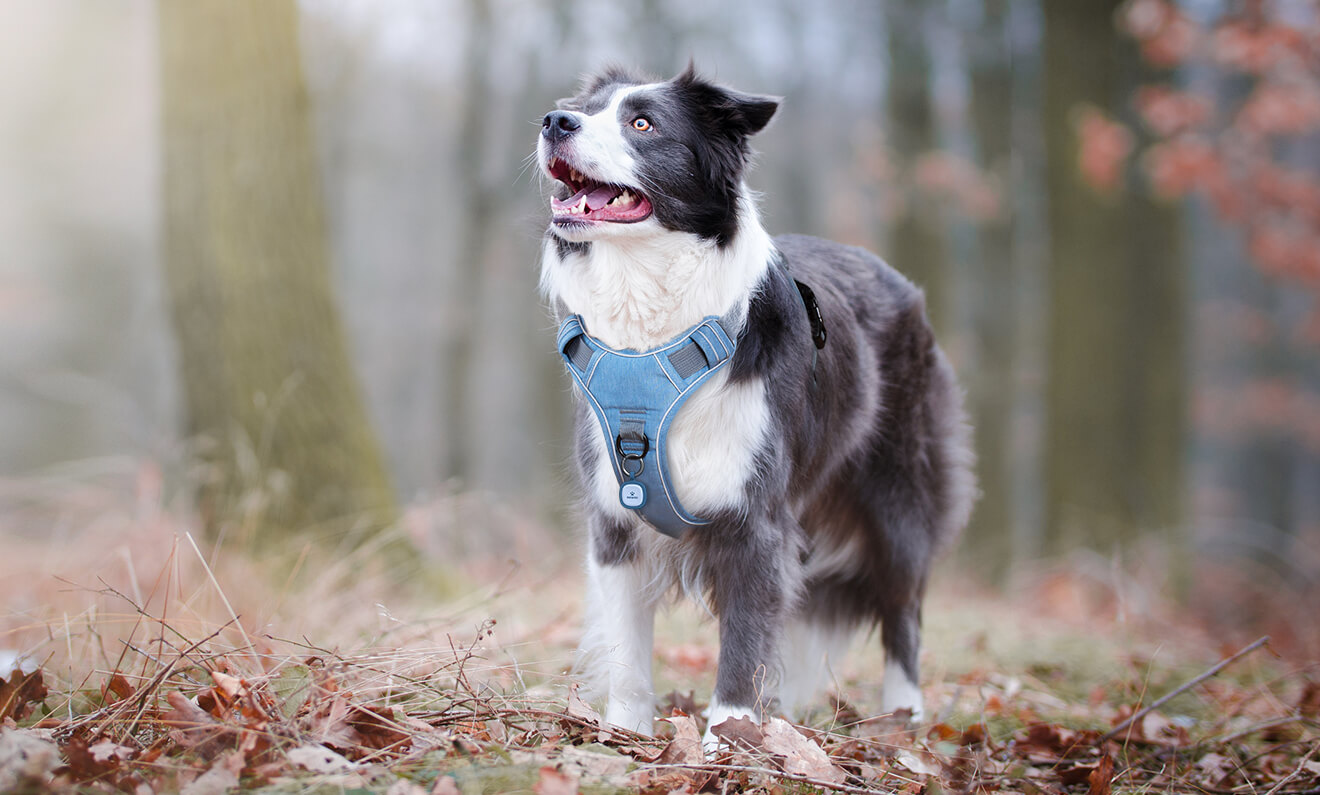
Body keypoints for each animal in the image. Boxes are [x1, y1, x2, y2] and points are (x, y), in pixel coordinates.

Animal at [530, 66, 976, 744]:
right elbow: (628, 652)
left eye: (642, 123)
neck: (650, 325)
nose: (555, 122)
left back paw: (904, 720)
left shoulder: (755, 520)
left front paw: (729, 741)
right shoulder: (614, 520)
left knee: (904, 610)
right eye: (583, 109)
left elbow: (744, 640)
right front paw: (627, 738)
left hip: (899, 499)